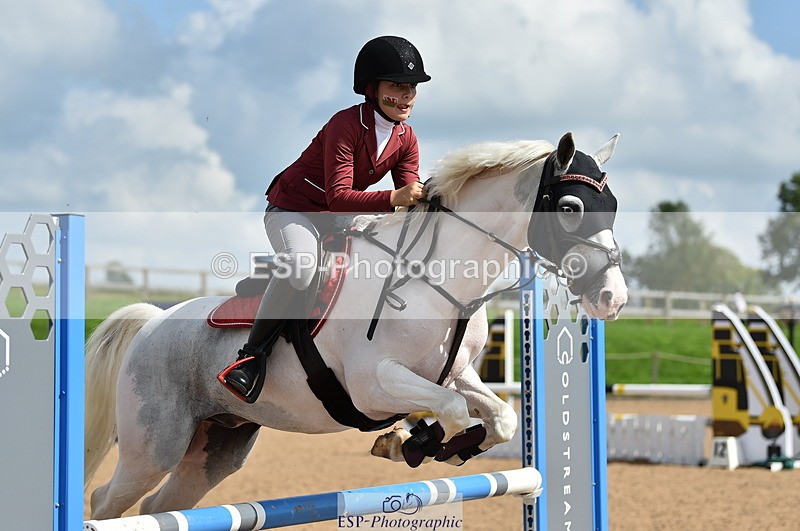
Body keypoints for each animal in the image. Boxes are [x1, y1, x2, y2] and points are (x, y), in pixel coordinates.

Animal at [84, 132, 628, 519]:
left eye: (615, 206)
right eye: (570, 208)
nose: (613, 299)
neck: (436, 276)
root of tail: (155, 321)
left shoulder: (454, 373)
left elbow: (501, 417)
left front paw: (426, 445)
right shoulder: (373, 384)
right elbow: (453, 411)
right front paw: (417, 443)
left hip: (217, 446)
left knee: (161, 508)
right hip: (153, 446)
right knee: (108, 502)